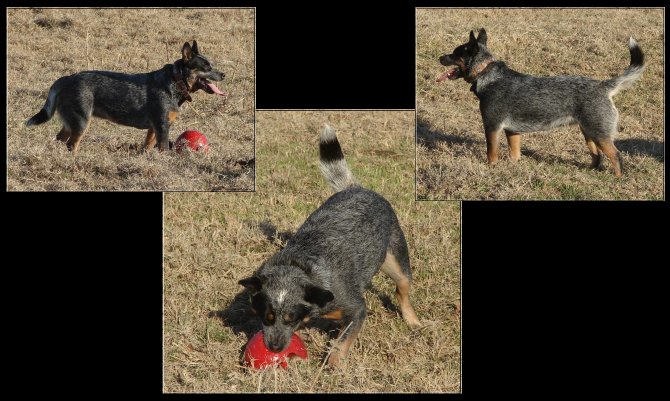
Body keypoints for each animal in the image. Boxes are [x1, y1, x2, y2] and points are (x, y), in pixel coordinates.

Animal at [25, 40, 226, 152]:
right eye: (207, 67)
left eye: (213, 65)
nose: (224, 74)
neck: (175, 82)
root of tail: (65, 78)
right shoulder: (162, 127)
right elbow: (164, 150)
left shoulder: (153, 129)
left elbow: (147, 148)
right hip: (81, 122)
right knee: (71, 145)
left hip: (71, 123)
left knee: (59, 139)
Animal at [239, 125, 422, 366]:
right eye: (267, 317)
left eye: (291, 319)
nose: (274, 347)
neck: (298, 267)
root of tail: (356, 187)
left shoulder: (355, 309)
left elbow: (341, 343)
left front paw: (333, 365)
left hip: (396, 259)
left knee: (402, 288)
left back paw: (412, 321)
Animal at [438, 28, 648, 176]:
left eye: (455, 53)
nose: (440, 57)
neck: (486, 74)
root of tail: (603, 86)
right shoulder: (512, 132)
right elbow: (515, 155)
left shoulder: (492, 127)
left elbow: (491, 154)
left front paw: (491, 169)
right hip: (588, 133)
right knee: (597, 157)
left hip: (599, 135)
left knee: (616, 157)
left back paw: (616, 179)